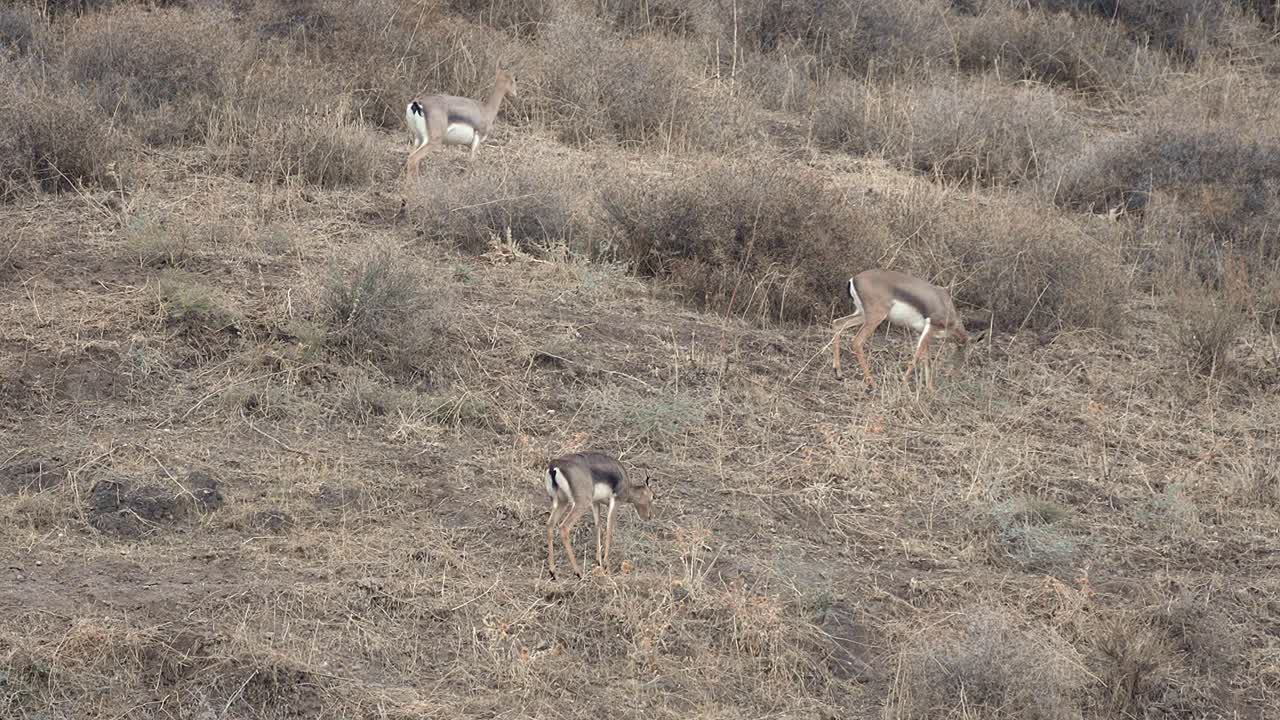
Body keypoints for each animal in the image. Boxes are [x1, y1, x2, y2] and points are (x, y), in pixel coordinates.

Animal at [545, 452, 655, 580]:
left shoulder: (596, 502)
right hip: (580, 504)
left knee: (549, 525)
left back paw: (553, 572)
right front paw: (606, 565)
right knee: (564, 527)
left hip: (561, 502)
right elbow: (609, 530)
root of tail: (554, 466)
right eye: (652, 497)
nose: (649, 516)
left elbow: (598, 527)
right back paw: (578, 572)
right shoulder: (615, 501)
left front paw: (599, 562)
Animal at [832, 268, 972, 391]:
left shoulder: (924, 332)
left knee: (838, 323)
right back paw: (872, 383)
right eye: (962, 356)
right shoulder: (931, 326)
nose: (954, 377)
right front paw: (903, 382)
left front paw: (930, 390)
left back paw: (838, 372)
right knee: (857, 342)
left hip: (862, 314)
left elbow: (926, 360)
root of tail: (854, 279)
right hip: (875, 317)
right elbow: (917, 357)